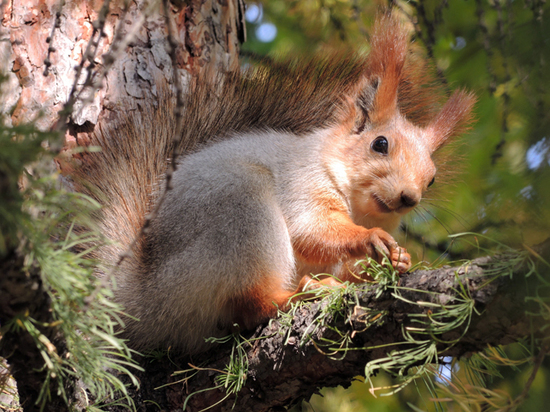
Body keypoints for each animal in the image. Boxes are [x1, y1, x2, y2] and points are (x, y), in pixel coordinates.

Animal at [68, 13, 474, 354]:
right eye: (380, 144)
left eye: (432, 178)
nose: (409, 197)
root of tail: (146, 305)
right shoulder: (302, 182)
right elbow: (311, 230)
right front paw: (370, 238)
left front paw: (399, 260)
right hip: (239, 216)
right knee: (250, 304)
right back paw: (299, 295)